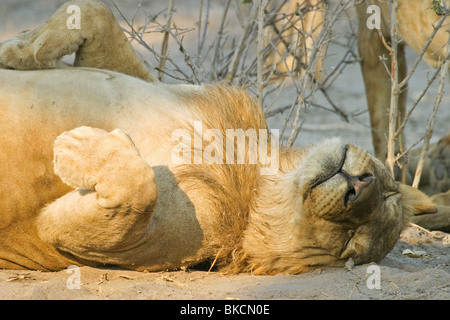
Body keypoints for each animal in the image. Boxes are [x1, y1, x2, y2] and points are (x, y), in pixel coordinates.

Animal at [0, 0, 440, 276]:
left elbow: (137, 191)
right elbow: (97, 14)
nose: (359, 187)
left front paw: (79, 146)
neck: (258, 168)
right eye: (387, 188)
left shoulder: (83, 240)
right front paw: (19, 48)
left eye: (351, 243)